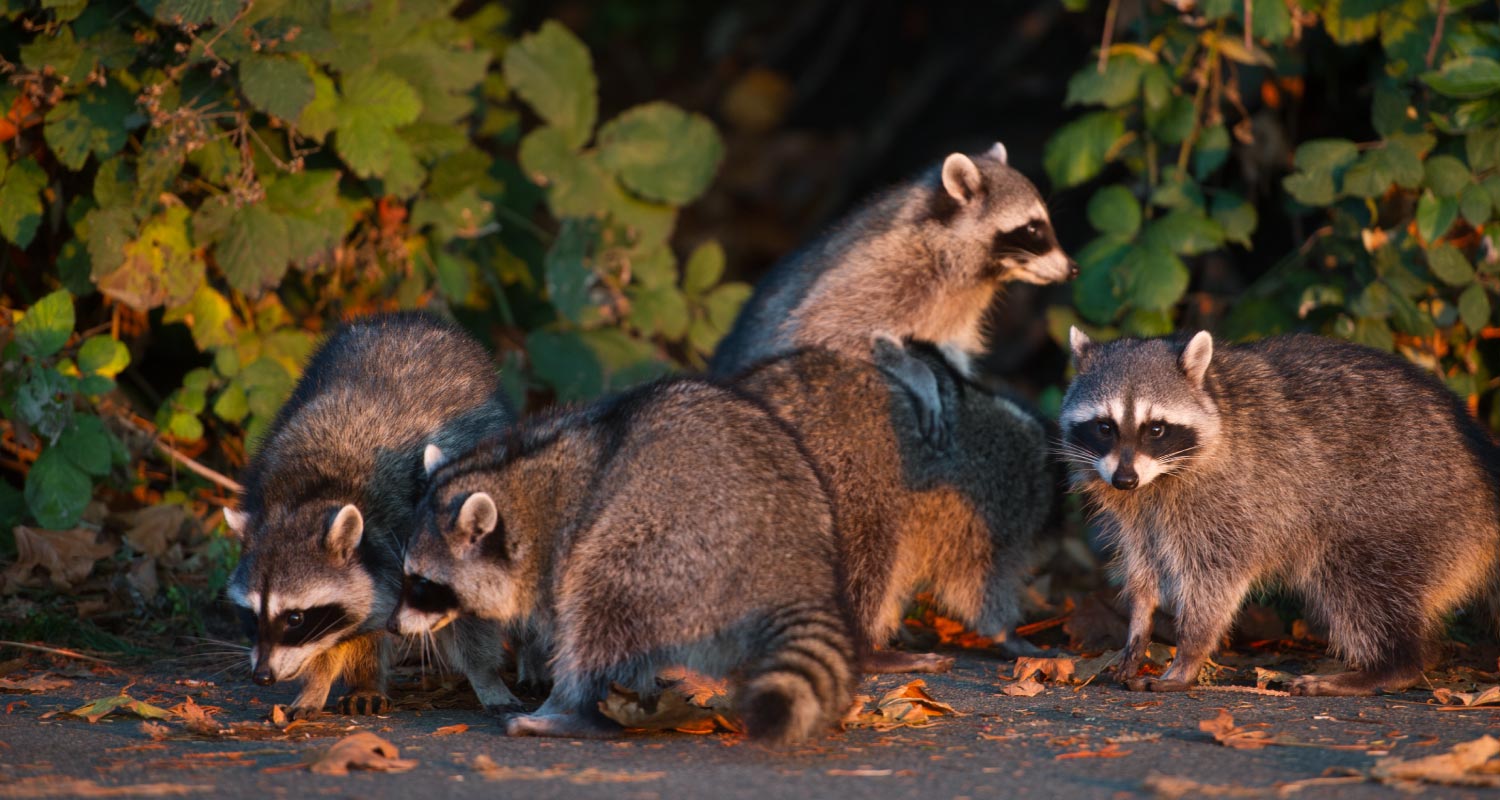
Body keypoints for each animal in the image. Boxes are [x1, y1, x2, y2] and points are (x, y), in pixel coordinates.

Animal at [220, 312, 528, 717]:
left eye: (295, 618)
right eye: (252, 616)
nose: (262, 677)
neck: (312, 493)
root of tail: (403, 319)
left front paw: (486, 676)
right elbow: (347, 630)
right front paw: (317, 684)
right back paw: (365, 681)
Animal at [387, 376, 858, 744]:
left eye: (423, 582)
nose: (392, 626)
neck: (516, 479)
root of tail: (788, 555)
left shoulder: (557, 552)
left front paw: (561, 698)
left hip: (675, 544)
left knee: (602, 603)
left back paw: (577, 716)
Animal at [732, 337, 1050, 672]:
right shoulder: (993, 507)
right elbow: (979, 581)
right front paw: (1006, 633)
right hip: (845, 486)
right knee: (867, 556)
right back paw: (870, 652)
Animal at [1062, 327, 1500, 696]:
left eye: (1155, 429)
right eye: (1105, 427)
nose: (1124, 480)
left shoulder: (1231, 498)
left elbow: (1216, 577)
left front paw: (1189, 652)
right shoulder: (1137, 511)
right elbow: (1142, 565)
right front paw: (1139, 626)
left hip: (1409, 500)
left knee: (1362, 582)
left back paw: (1392, 666)